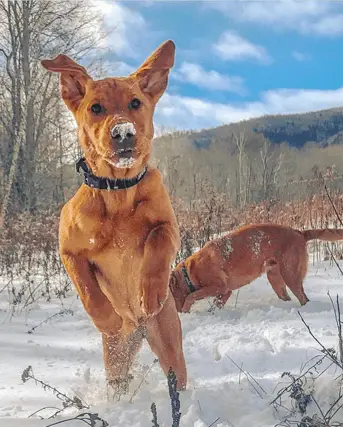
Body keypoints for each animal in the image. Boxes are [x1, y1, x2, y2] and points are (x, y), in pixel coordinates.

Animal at [42, 41, 188, 392]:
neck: (118, 191)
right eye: (95, 108)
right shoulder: (68, 251)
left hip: (171, 347)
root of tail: (138, 328)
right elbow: (87, 289)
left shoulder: (169, 226)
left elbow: (158, 245)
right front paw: (106, 318)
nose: (123, 132)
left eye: (135, 103)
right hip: (116, 362)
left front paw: (150, 292)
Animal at [171, 226, 343, 312]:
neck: (189, 273)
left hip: (290, 275)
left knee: (304, 298)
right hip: (275, 279)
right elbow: (216, 303)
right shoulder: (226, 291)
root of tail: (300, 232)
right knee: (288, 297)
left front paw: (186, 308)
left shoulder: (219, 286)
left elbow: (192, 296)